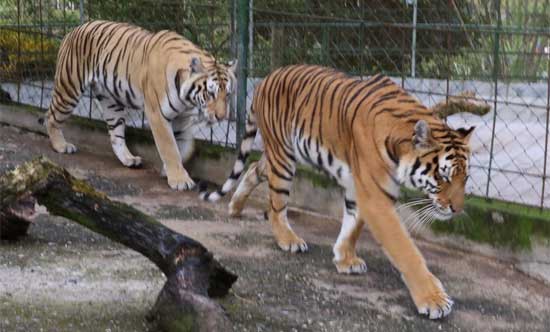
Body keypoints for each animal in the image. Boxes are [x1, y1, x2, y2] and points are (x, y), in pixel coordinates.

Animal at [45, 20, 237, 191]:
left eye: (227, 94)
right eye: (210, 93)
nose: (221, 117)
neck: (187, 99)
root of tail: (72, 30)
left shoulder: (182, 118)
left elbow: (184, 146)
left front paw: (170, 171)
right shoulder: (157, 114)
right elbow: (169, 147)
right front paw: (180, 179)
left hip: (111, 103)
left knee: (116, 135)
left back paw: (129, 159)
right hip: (69, 89)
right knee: (51, 117)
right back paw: (61, 146)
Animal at [201, 65, 476, 320]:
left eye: (465, 178)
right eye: (443, 176)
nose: (457, 209)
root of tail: (266, 78)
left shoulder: (360, 187)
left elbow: (353, 225)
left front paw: (345, 259)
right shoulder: (376, 197)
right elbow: (405, 250)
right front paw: (433, 299)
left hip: (277, 154)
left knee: (254, 168)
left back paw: (235, 207)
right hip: (283, 157)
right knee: (276, 205)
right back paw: (288, 240)